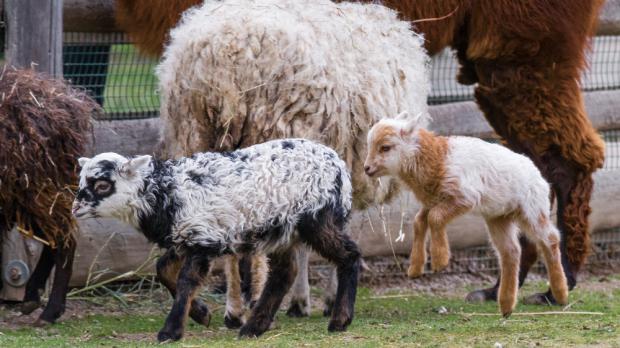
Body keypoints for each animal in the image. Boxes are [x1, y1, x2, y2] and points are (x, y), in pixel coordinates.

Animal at [73, 137, 360, 342]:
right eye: (81, 181)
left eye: (102, 185)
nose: (75, 208)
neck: (166, 192)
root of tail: (339, 165)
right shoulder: (186, 236)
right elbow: (163, 269)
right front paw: (201, 314)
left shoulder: (203, 236)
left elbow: (186, 280)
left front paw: (171, 331)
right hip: (282, 227)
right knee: (285, 271)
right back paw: (254, 327)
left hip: (317, 218)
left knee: (350, 255)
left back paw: (339, 320)